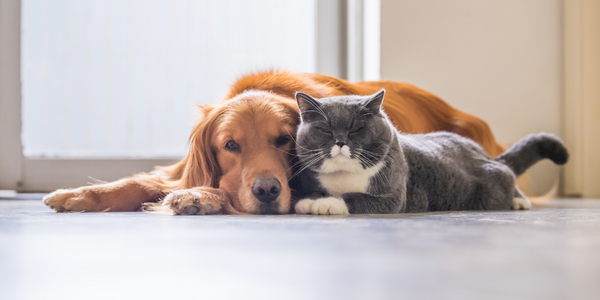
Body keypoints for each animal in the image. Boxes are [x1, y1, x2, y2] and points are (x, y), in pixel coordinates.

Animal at [42, 70, 504, 214]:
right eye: (230, 146)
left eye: (283, 140)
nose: (266, 191)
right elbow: (141, 181)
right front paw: (77, 195)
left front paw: (200, 197)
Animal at [292, 90, 568, 214]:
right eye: (326, 130)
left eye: (356, 129)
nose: (340, 142)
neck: (344, 176)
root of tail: (482, 153)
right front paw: (310, 199)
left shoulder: (393, 197)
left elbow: (354, 198)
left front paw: (323, 203)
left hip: (491, 185)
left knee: (507, 175)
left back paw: (520, 201)